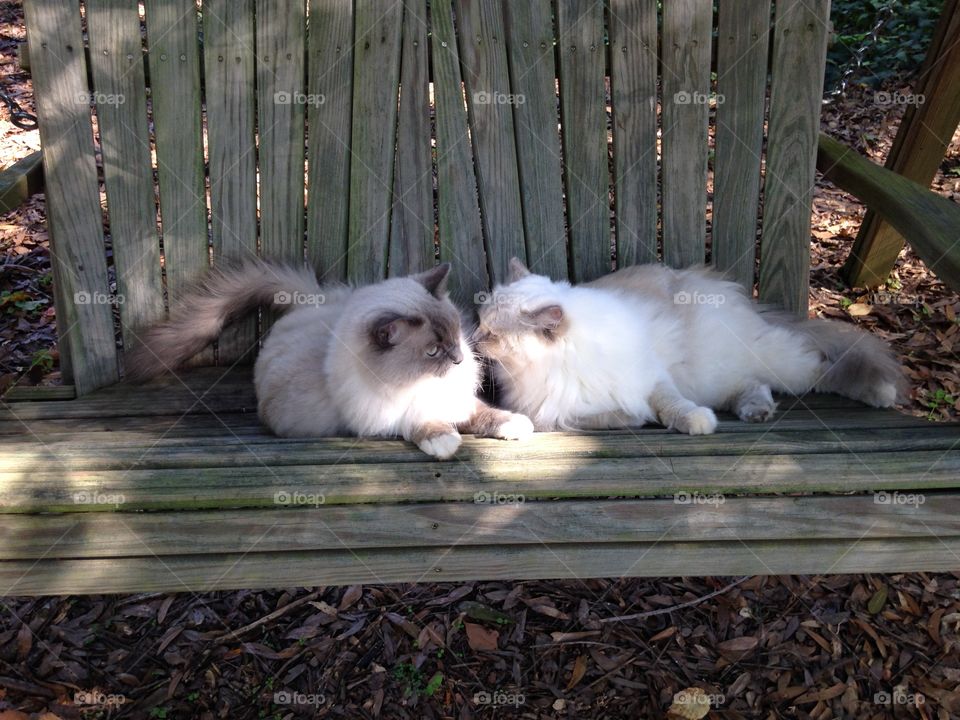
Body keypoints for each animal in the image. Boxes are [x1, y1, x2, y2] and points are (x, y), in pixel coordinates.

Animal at [124, 262, 536, 458]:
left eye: (453, 336)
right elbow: (423, 424)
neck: (414, 383)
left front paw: (515, 425)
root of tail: (309, 305)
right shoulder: (387, 418)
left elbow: (484, 414)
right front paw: (445, 442)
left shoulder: (458, 401)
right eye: (433, 351)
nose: (458, 360)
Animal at [476, 258, 904, 434]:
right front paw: (635, 419)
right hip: (717, 378)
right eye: (480, 324)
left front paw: (696, 424)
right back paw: (756, 412)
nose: (475, 340)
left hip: (772, 363)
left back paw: (883, 393)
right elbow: (610, 416)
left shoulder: (652, 378)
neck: (562, 363)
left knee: (821, 369)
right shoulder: (554, 413)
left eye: (492, 334)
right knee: (753, 385)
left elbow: (671, 406)